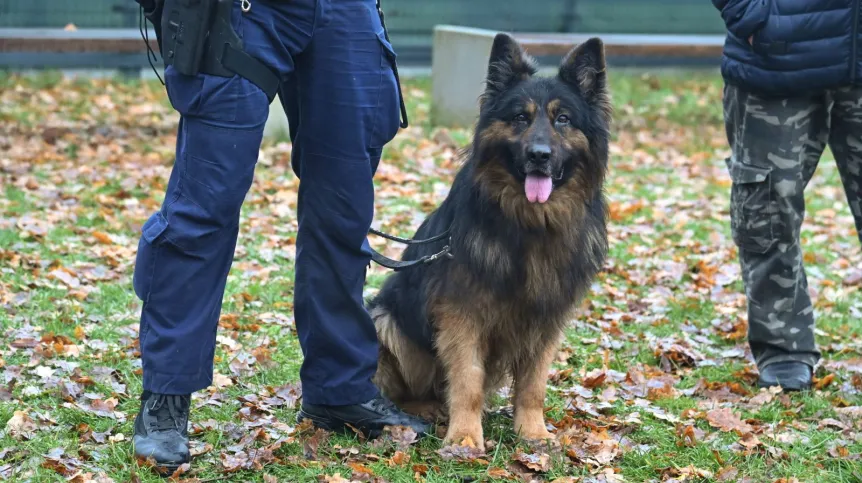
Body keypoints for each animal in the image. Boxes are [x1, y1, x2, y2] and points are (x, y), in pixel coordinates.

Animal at [368, 33, 612, 450]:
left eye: (563, 119)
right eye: (520, 118)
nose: (539, 156)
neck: (531, 225)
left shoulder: (546, 319)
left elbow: (533, 385)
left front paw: (533, 432)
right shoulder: (461, 316)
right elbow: (467, 379)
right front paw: (465, 438)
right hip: (384, 320)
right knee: (401, 391)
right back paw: (425, 410)